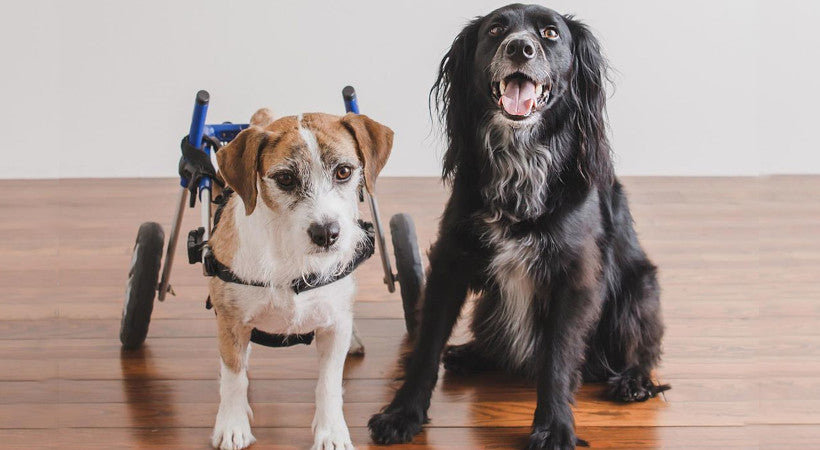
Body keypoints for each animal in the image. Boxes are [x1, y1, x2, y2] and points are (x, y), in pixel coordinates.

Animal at [208, 110, 394, 450]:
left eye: (344, 171)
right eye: (285, 178)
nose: (327, 233)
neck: (290, 254)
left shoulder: (334, 325)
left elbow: (329, 383)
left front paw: (331, 432)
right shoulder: (230, 321)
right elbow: (233, 376)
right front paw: (231, 424)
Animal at [368, 3, 668, 450]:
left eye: (550, 33)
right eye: (495, 30)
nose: (520, 48)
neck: (520, 162)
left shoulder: (575, 276)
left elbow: (558, 359)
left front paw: (554, 427)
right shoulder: (450, 260)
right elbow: (425, 344)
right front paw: (403, 413)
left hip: (639, 290)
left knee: (644, 347)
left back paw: (633, 381)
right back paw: (469, 354)